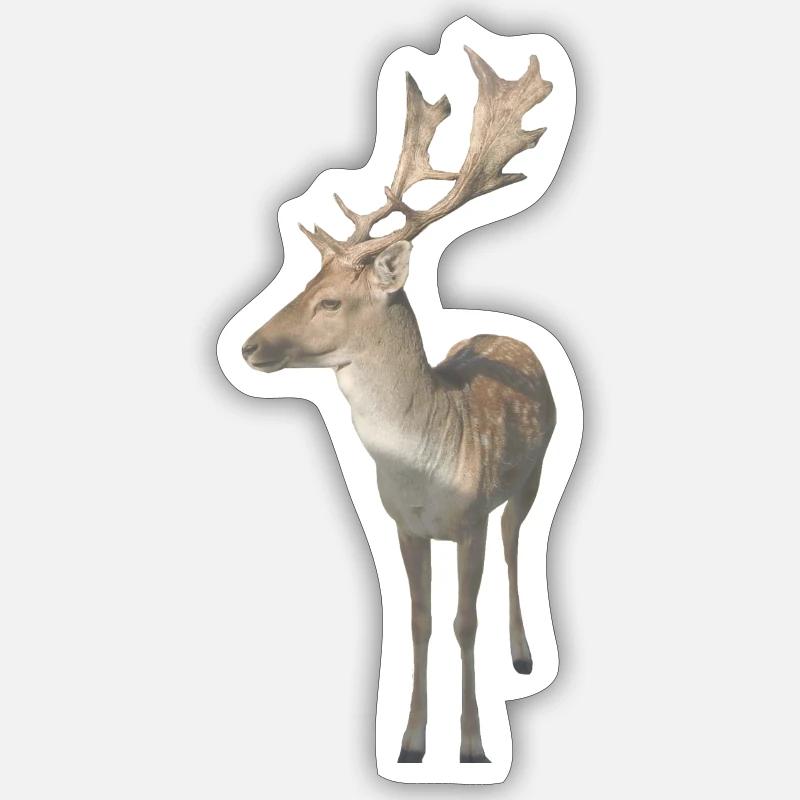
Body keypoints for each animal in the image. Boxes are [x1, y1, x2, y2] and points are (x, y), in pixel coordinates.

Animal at [241, 47, 556, 764]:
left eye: (330, 300)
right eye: (305, 284)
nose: (249, 345)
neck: (423, 474)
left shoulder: (468, 521)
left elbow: (464, 622)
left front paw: (471, 744)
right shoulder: (402, 525)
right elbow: (417, 621)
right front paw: (411, 741)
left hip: (534, 472)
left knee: (516, 543)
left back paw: (523, 655)